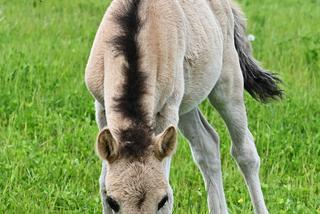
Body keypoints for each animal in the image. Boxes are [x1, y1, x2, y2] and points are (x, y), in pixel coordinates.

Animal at [85, 0, 282, 214]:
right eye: (113, 201)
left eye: (163, 201)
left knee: (245, 152)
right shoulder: (102, 107)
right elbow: (103, 182)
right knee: (207, 145)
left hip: (226, 82)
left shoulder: (167, 111)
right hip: (186, 105)